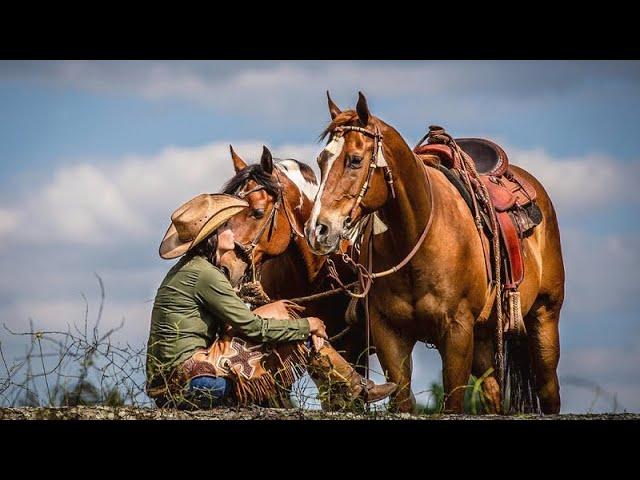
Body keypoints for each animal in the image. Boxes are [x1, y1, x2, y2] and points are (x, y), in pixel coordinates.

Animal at [304, 93, 564, 412]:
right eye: (321, 161)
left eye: (355, 160)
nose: (318, 230)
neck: (417, 238)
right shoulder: (389, 332)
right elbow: (403, 399)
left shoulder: (457, 332)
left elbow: (452, 402)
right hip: (484, 337)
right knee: (492, 392)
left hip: (545, 319)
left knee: (549, 392)